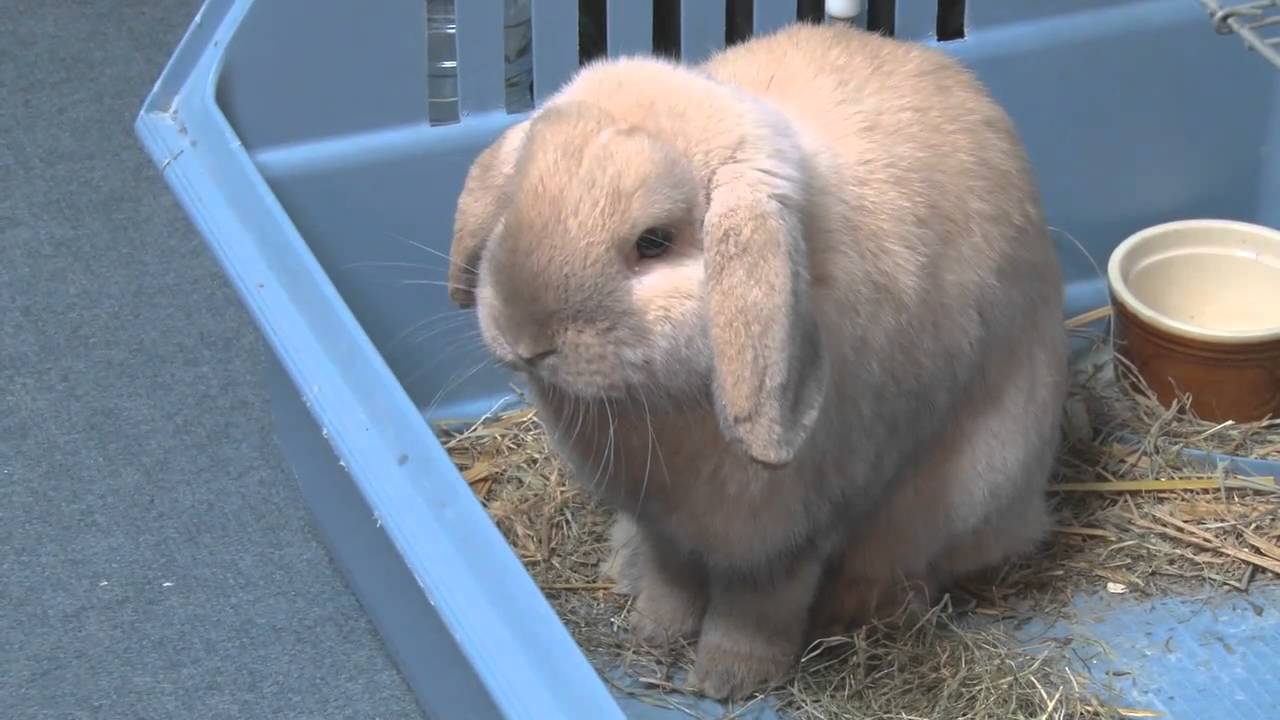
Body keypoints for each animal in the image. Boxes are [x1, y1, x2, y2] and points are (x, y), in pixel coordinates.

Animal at [446, 22, 1068, 700]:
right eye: (514, 203)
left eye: (653, 242)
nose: (525, 337)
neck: (665, 404)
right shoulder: (663, 521)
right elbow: (670, 576)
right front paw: (653, 630)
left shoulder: (788, 534)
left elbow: (757, 606)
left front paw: (727, 678)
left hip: (973, 482)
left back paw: (860, 610)